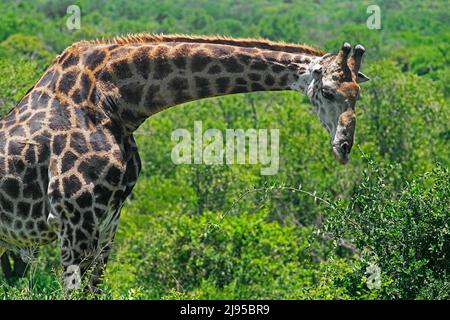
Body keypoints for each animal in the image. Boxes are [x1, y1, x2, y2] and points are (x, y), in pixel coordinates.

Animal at [0, 33, 370, 290]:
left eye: (357, 96)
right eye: (328, 92)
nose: (344, 147)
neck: (116, 103)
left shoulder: (107, 222)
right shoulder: (74, 220)